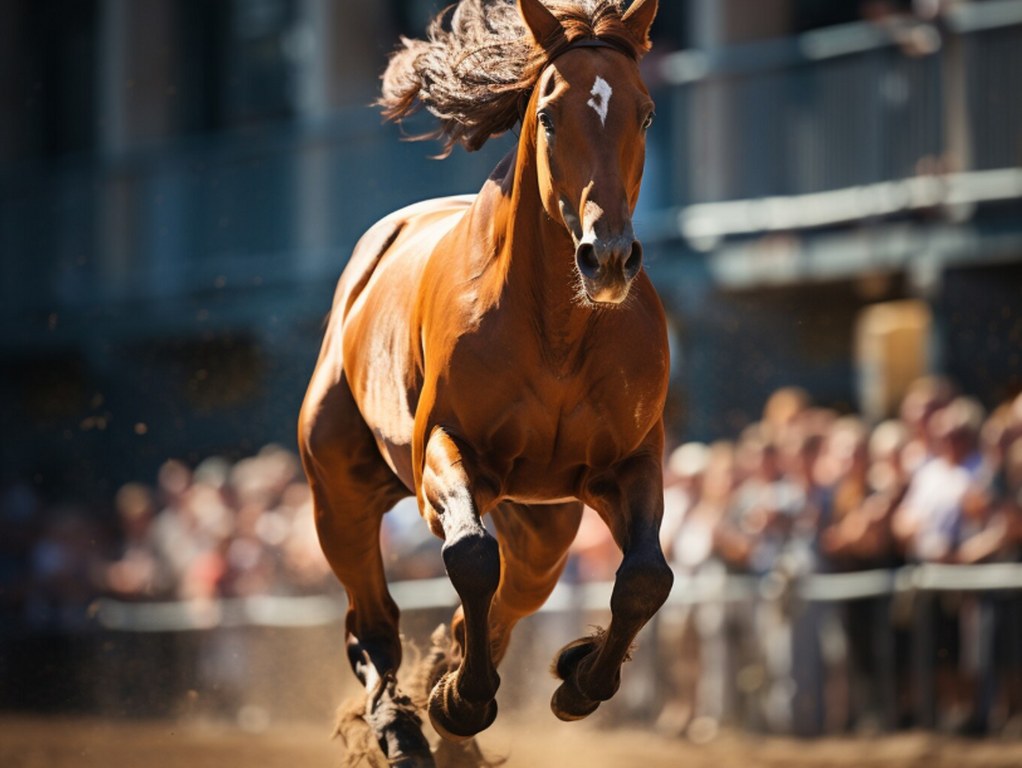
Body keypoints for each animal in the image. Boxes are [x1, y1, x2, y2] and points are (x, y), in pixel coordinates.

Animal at [298, 1, 670, 764]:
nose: (608, 258)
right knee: (371, 621)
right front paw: (460, 700)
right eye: (550, 115)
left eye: (646, 112)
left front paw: (580, 678)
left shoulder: (629, 460)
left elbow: (647, 576)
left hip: (543, 519)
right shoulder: (445, 449)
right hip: (339, 491)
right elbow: (469, 556)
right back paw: (403, 725)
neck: (560, 330)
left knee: (514, 595)